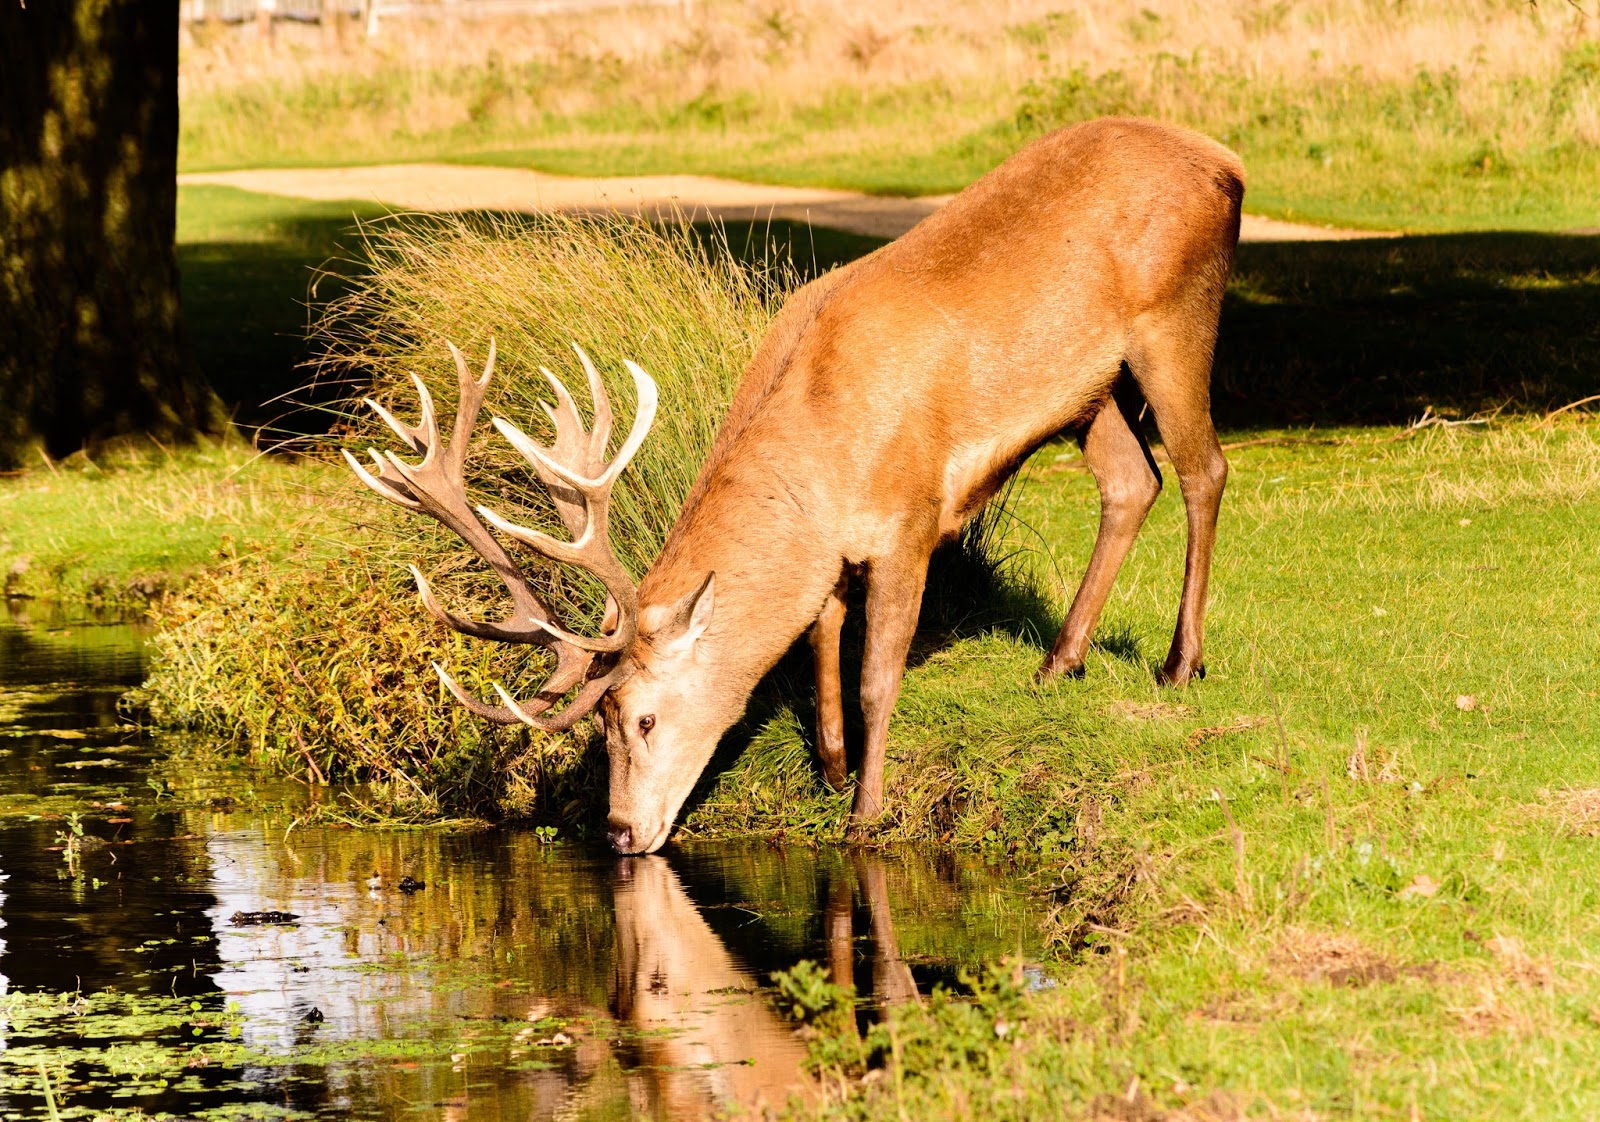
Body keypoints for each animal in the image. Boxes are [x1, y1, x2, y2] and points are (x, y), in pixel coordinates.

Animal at [346, 117, 1244, 855]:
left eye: (643, 714)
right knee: (1132, 481)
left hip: (1176, 316)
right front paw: (835, 772)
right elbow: (821, 652)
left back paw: (1180, 663)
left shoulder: (910, 517)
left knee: (1204, 470)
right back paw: (1059, 663)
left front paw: (866, 814)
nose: (619, 831)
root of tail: (1226, 163)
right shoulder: (832, 555)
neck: (823, 455)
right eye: (597, 718)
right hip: (1090, 389)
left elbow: (876, 675)